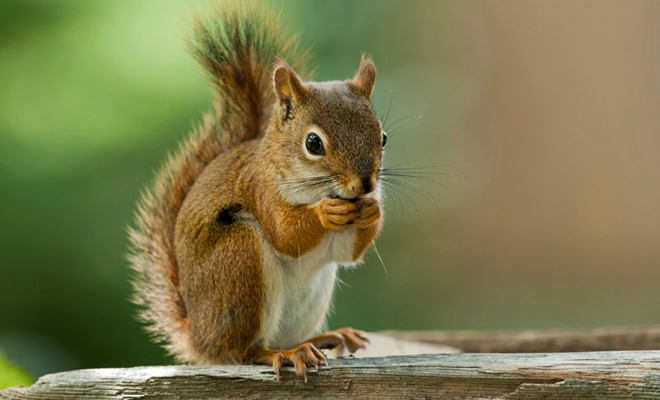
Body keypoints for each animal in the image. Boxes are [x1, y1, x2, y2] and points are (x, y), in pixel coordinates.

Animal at [127, 0, 386, 382]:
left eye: (383, 137)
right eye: (313, 143)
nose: (365, 185)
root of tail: (200, 340)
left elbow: (348, 253)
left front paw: (373, 210)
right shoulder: (261, 189)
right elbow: (285, 233)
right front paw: (325, 213)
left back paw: (324, 338)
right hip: (239, 260)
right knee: (244, 352)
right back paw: (286, 354)